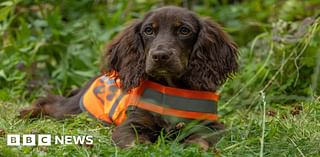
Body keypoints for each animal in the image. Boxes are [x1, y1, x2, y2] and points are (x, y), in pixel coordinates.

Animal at [18, 6, 238, 151]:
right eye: (148, 30)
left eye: (184, 30)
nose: (160, 56)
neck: (170, 88)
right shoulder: (132, 123)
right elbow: (134, 143)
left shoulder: (209, 126)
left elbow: (202, 141)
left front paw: (195, 147)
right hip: (74, 111)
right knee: (49, 102)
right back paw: (25, 113)